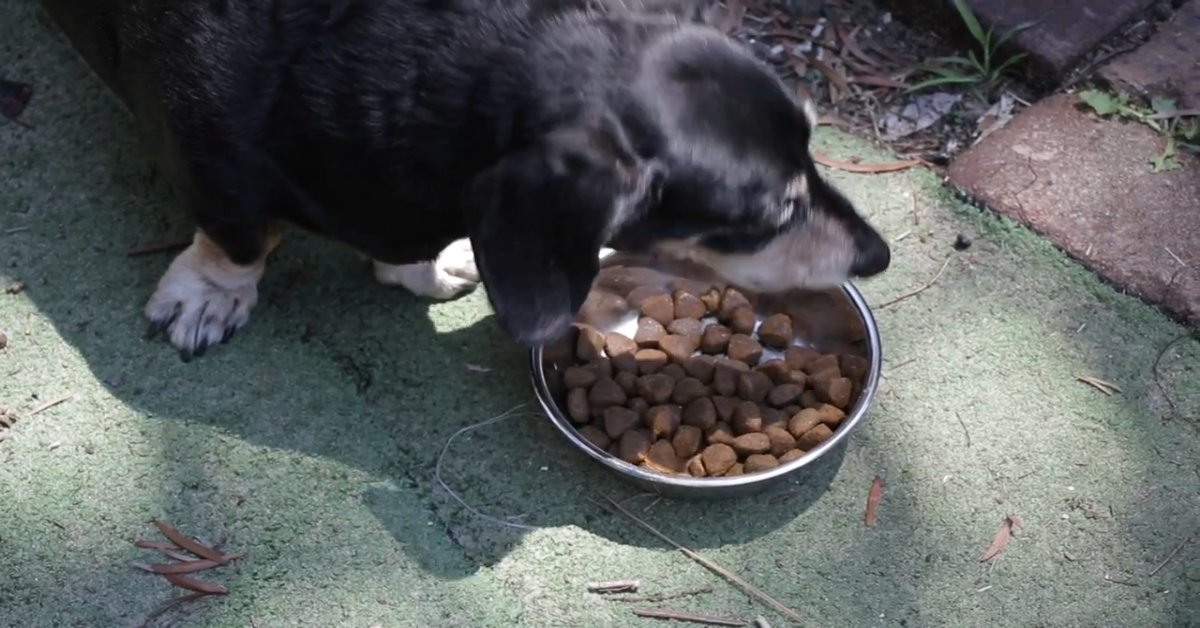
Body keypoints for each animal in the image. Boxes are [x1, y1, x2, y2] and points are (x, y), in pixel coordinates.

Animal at [39, 0, 892, 360]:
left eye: (813, 144)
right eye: (768, 215)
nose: (877, 256)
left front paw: (426, 263)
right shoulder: (211, 167)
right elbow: (241, 242)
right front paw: (212, 296)